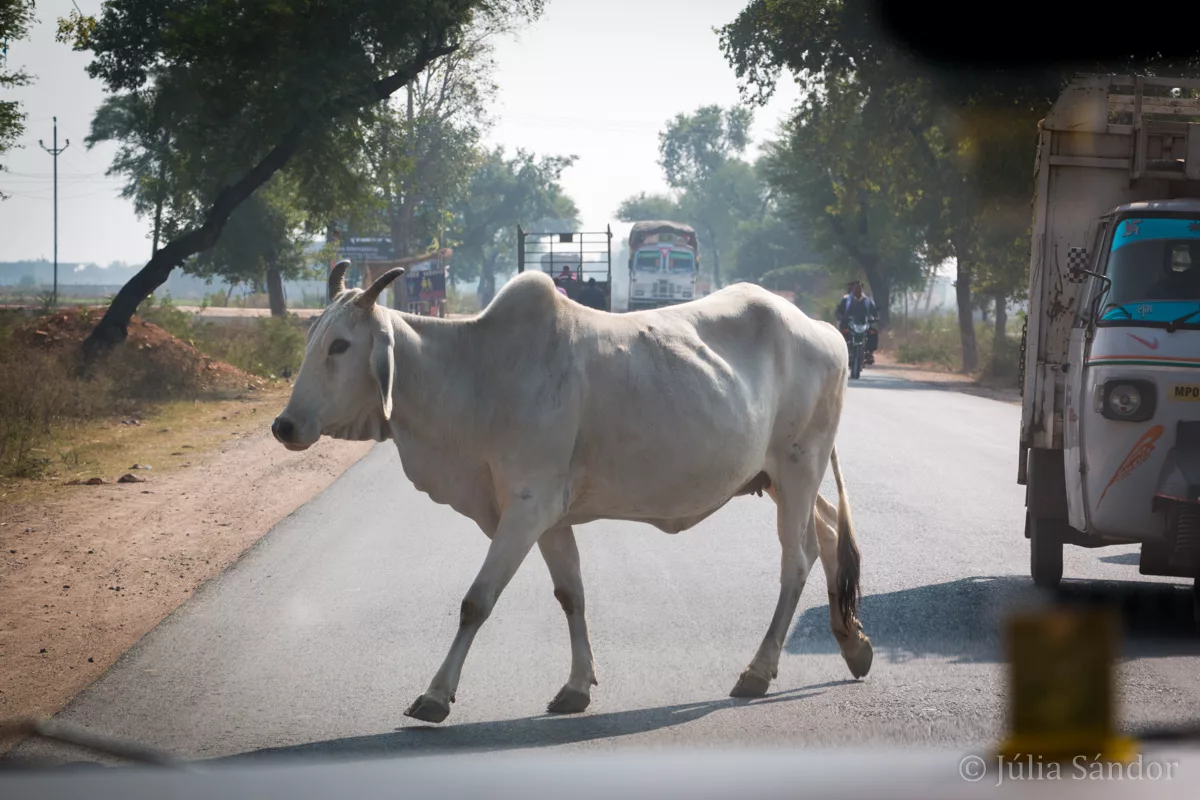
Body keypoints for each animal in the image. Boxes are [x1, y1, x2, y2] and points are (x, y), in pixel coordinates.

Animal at [271, 260, 873, 724]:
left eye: (341, 345)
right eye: (310, 340)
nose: (284, 425)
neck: (476, 375)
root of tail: (825, 331)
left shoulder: (526, 508)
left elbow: (476, 601)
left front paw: (436, 694)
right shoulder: (550, 519)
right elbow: (571, 595)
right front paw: (577, 687)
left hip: (798, 466)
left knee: (796, 560)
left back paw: (758, 671)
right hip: (779, 478)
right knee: (825, 538)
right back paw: (853, 644)